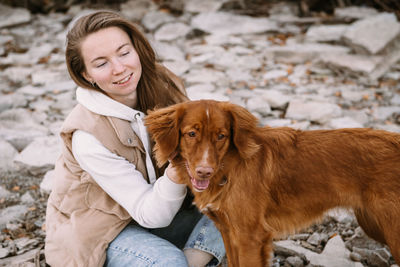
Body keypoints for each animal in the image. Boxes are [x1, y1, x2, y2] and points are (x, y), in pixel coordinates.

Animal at [145, 100, 400, 266]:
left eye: (221, 136)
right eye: (191, 134)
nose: (204, 171)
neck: (229, 167)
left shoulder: (250, 236)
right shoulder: (228, 231)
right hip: (372, 223)